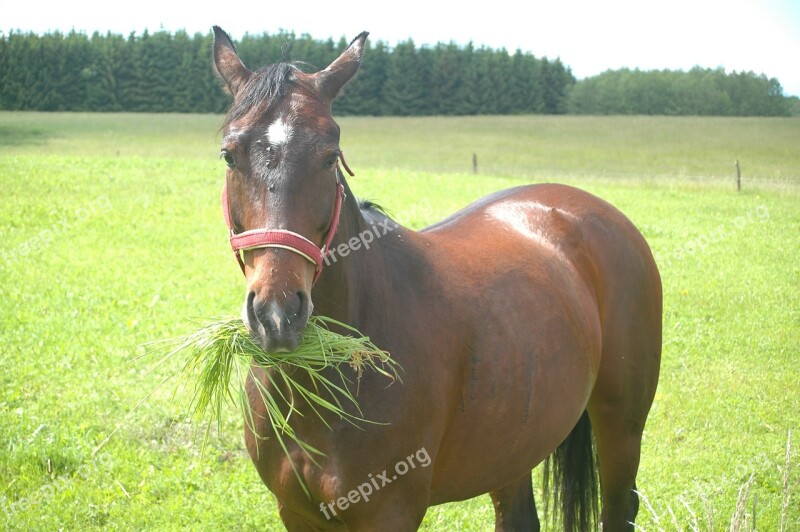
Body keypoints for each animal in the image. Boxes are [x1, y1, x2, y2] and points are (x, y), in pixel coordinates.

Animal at [209, 26, 660, 532]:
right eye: (229, 155)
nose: (278, 315)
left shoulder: (391, 512)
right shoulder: (296, 512)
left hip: (621, 428)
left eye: (329, 157)